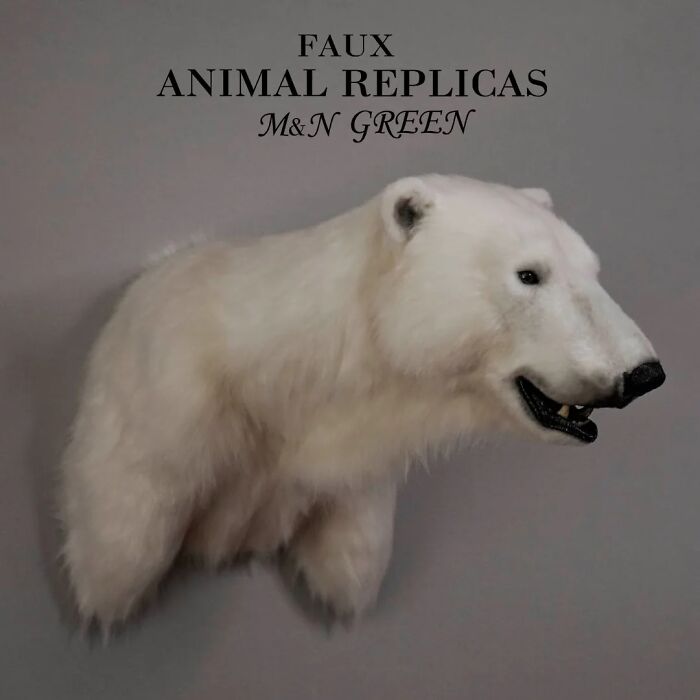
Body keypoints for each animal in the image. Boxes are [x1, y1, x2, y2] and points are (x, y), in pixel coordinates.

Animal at [58, 174, 665, 629]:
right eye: (529, 274)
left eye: (593, 271)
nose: (644, 374)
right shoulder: (172, 401)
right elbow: (131, 519)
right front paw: (106, 593)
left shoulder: (348, 465)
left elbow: (350, 549)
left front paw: (343, 587)